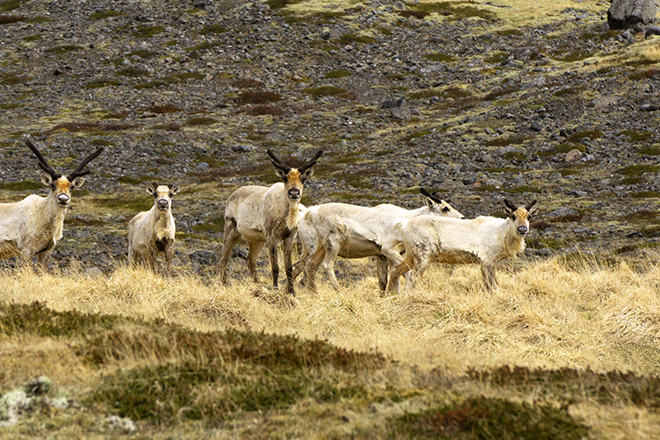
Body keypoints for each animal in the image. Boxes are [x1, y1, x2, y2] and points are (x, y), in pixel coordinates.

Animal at [218, 149, 323, 295]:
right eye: (285, 178)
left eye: (303, 179)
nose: (294, 192)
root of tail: (231, 196)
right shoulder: (271, 236)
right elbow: (275, 266)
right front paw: (275, 289)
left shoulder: (289, 236)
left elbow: (289, 267)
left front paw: (291, 292)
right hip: (231, 229)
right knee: (223, 257)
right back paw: (224, 285)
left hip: (256, 239)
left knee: (250, 260)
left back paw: (258, 285)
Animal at [386, 199, 538, 293]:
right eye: (512, 216)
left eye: (529, 216)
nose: (522, 229)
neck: (502, 234)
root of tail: (403, 224)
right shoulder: (487, 260)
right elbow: (492, 286)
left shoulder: (487, 262)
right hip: (423, 256)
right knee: (411, 280)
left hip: (411, 255)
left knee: (394, 270)